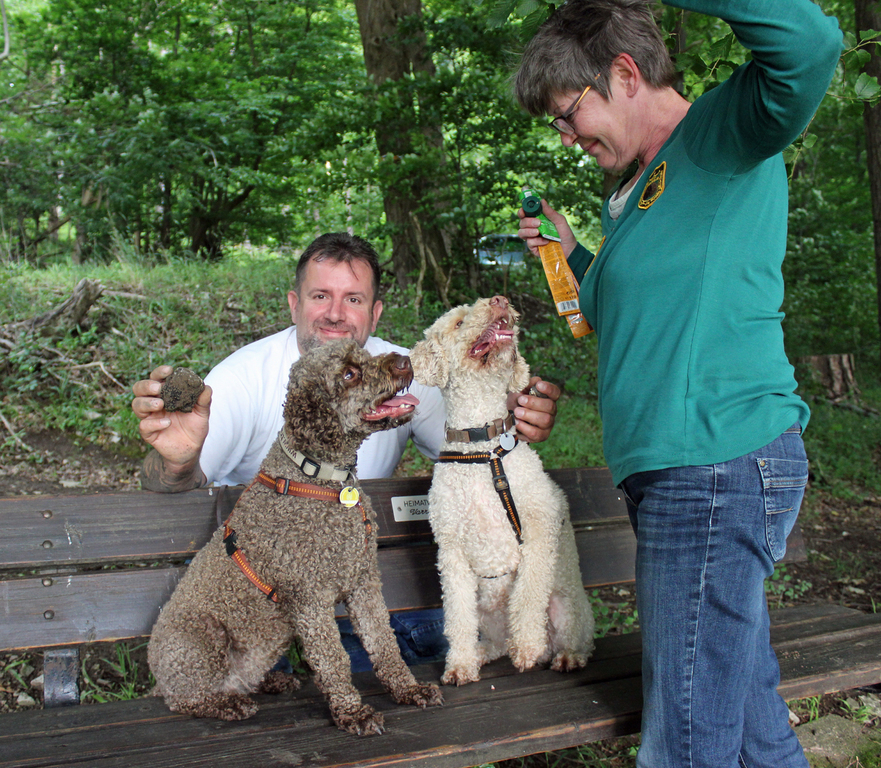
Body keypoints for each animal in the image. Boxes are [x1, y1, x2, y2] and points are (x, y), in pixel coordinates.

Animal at [148, 339, 443, 735]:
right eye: (349, 374)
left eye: (364, 354)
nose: (404, 361)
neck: (320, 477)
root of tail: (158, 678)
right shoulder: (309, 598)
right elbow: (334, 659)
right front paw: (354, 713)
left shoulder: (364, 583)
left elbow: (383, 641)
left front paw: (408, 690)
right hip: (200, 638)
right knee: (186, 699)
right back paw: (228, 703)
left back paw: (272, 681)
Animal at [409, 295, 594, 685]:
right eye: (459, 322)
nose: (500, 300)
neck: (484, 447)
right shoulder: (451, 552)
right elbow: (457, 617)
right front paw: (460, 663)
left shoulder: (538, 531)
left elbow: (528, 595)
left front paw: (527, 647)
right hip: (487, 611)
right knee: (493, 640)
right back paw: (482, 652)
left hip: (567, 605)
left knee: (577, 638)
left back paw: (563, 655)